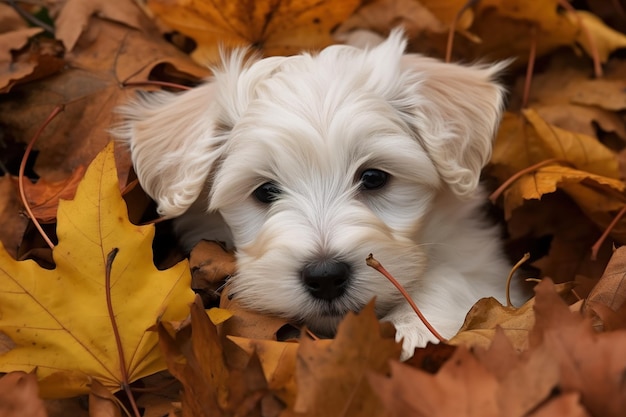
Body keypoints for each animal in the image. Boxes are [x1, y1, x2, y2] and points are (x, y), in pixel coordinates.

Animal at [114, 30, 520, 360]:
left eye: (373, 177)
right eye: (265, 191)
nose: (325, 276)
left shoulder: (481, 263)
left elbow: (452, 282)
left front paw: (411, 332)